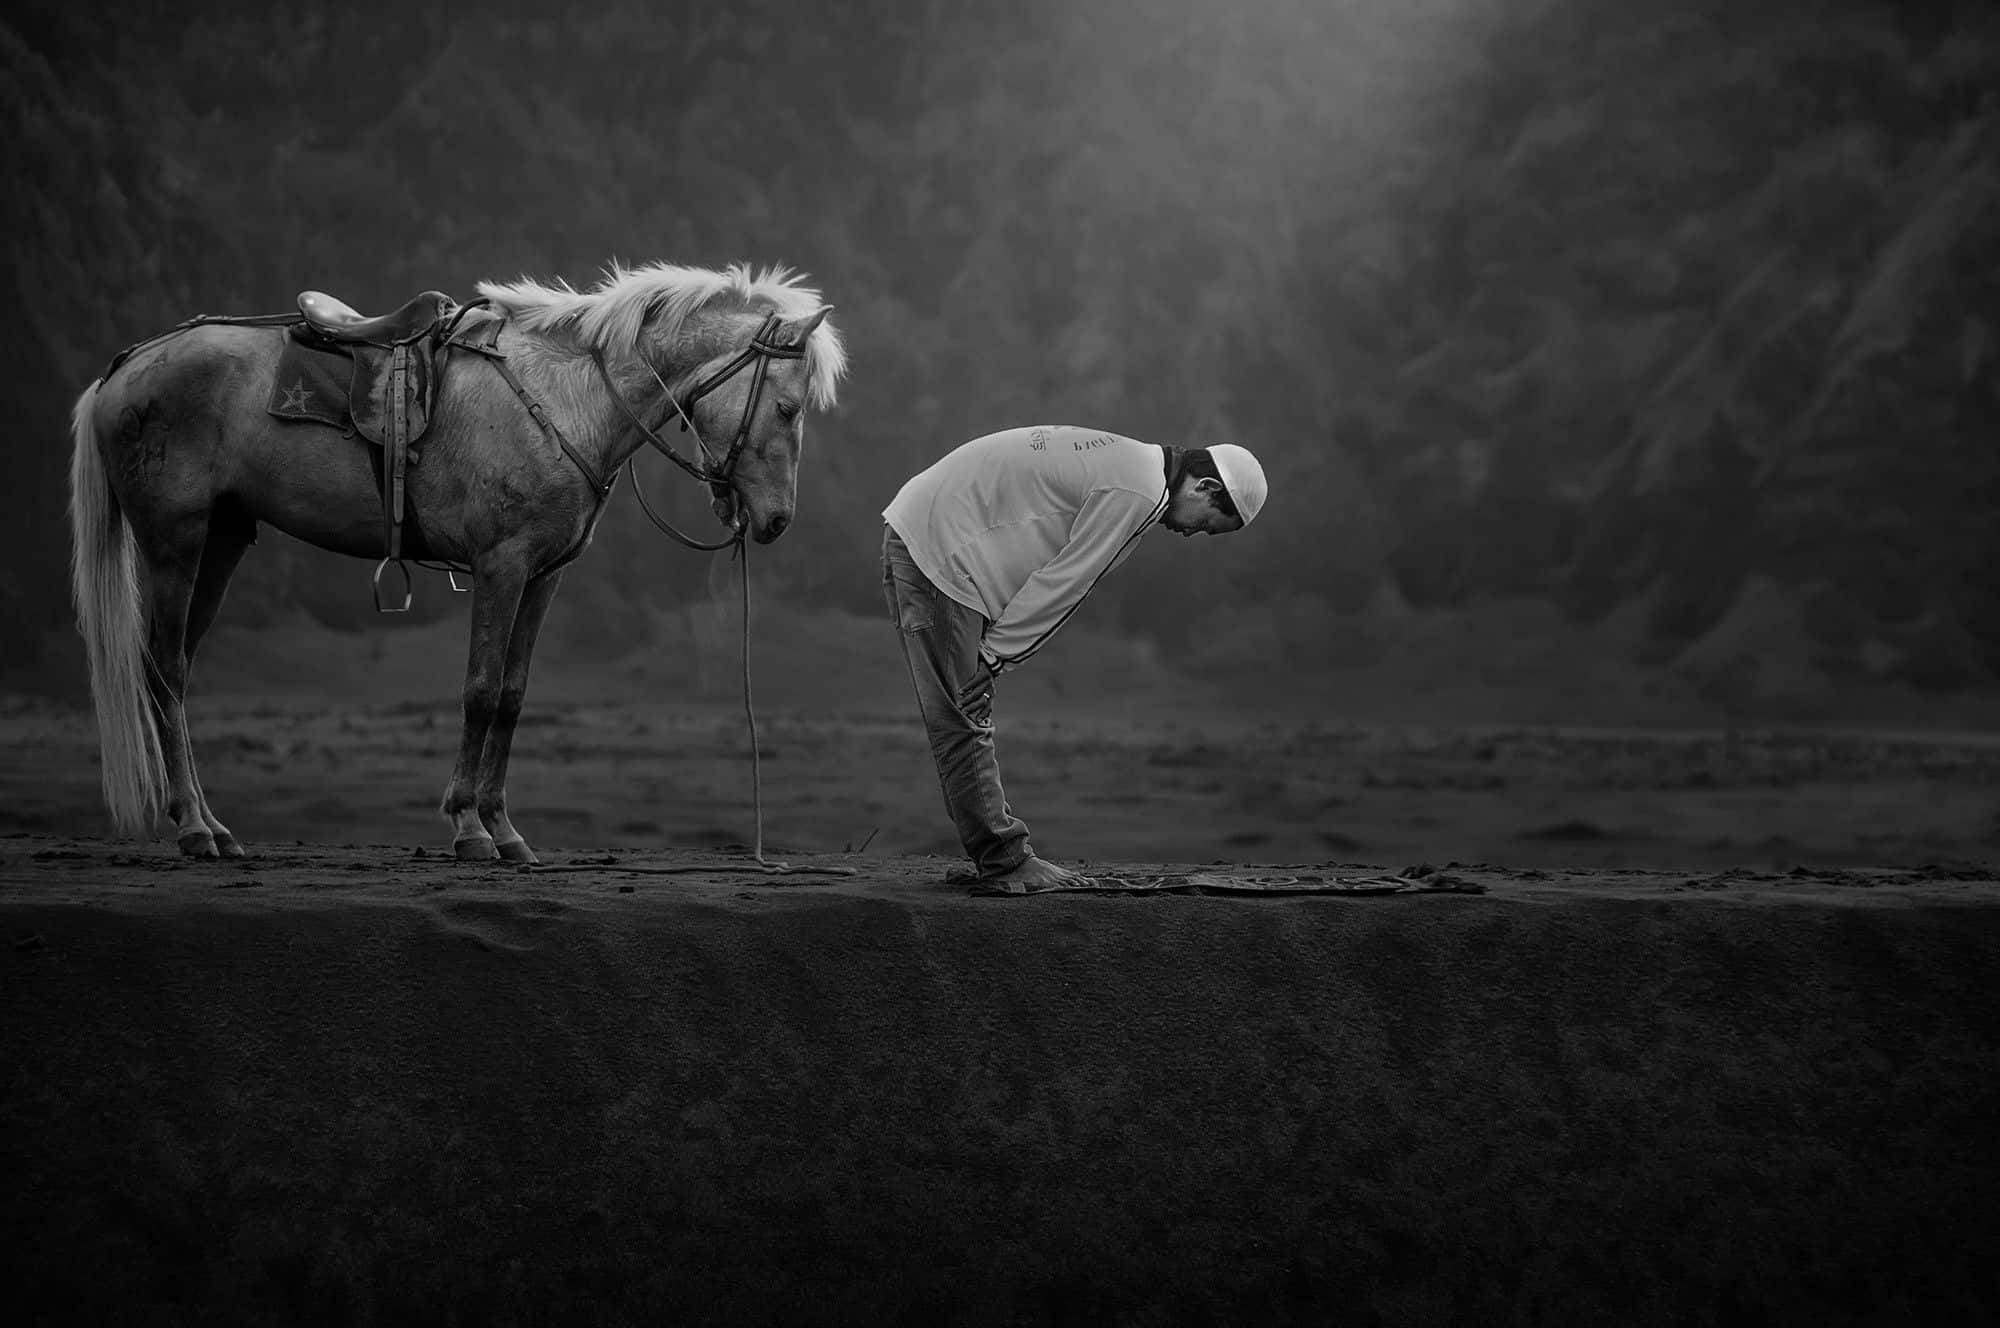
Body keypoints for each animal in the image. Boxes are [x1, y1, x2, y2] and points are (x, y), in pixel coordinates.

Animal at [67, 260, 846, 864]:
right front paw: (470, 829)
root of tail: (125, 370)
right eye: (787, 408)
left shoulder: (543, 577)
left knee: (175, 670)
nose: (775, 521)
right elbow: (479, 690)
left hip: (224, 540)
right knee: (164, 669)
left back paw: (212, 825)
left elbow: (512, 696)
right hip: (175, 541)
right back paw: (195, 829)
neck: (566, 396)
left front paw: (506, 831)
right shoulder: (501, 566)